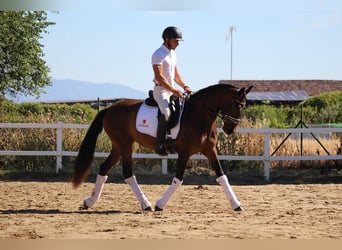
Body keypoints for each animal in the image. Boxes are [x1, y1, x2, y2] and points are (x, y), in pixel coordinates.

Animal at [72, 83, 252, 211]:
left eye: (244, 106)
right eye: (238, 105)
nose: (230, 129)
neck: (199, 115)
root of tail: (110, 108)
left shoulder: (210, 150)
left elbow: (222, 176)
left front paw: (236, 205)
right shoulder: (185, 152)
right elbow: (178, 179)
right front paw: (160, 204)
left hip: (118, 146)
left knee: (104, 168)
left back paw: (89, 202)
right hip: (125, 144)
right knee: (128, 173)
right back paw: (146, 204)